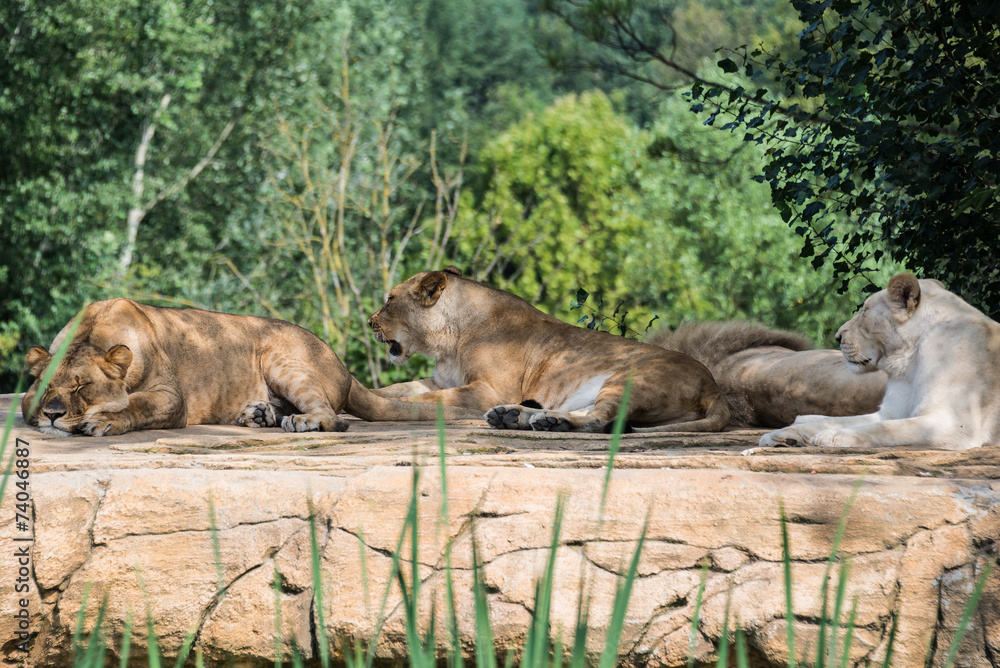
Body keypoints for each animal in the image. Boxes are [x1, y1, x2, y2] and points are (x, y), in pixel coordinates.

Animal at [22, 298, 478, 437]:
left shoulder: (172, 398)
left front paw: (101, 421)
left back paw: (301, 422)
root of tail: (345, 368)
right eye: (47, 389)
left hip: (280, 356)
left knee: (335, 418)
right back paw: (260, 414)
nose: (53, 415)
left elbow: (137, 406)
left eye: (81, 387)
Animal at [367, 267, 729, 433]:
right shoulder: (445, 380)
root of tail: (714, 388)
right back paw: (518, 416)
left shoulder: (489, 389)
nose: (369, 322)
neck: (449, 341)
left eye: (389, 301)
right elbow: (398, 388)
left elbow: (428, 398)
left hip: (631, 376)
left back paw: (544, 422)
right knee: (590, 413)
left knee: (602, 420)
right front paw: (374, 393)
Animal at [758, 273, 1000, 450]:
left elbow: (885, 429)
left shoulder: (954, 425)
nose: (838, 337)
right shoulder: (890, 413)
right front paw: (779, 435)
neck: (908, 363)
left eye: (864, 312)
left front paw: (832, 436)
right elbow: (846, 420)